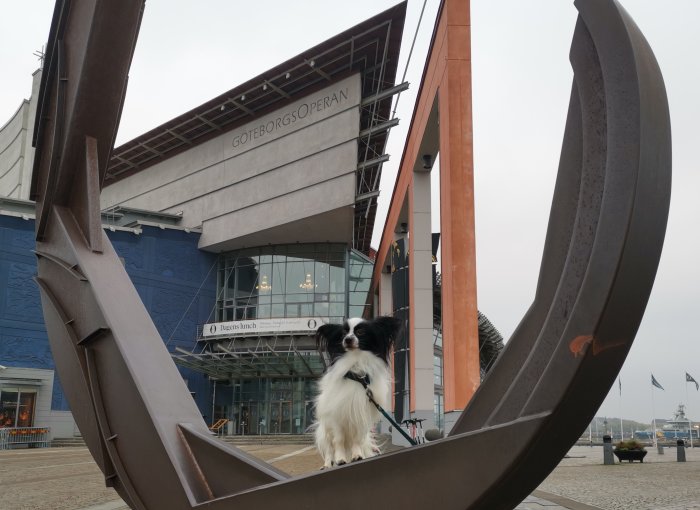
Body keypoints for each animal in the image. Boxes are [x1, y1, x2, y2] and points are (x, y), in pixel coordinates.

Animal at [312, 316, 400, 468]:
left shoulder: (361, 416)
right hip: (325, 431)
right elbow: (338, 440)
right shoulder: (336, 416)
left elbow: (357, 439)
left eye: (360, 332)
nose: (347, 339)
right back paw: (328, 464)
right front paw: (340, 459)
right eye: (343, 333)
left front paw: (357, 455)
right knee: (329, 449)